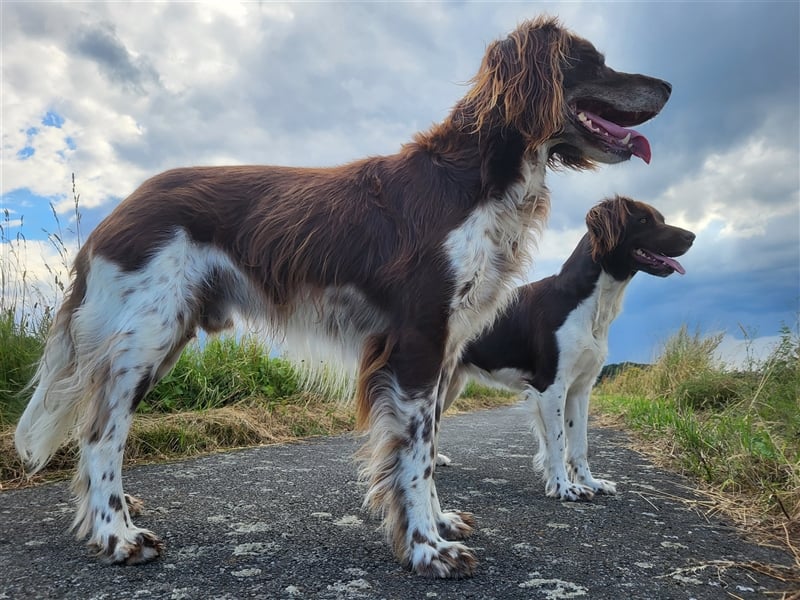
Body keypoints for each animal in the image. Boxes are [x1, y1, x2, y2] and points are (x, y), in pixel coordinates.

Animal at [438, 197, 692, 502]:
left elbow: (580, 444)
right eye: (643, 220)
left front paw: (590, 482)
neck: (585, 303)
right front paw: (563, 487)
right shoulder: (551, 386)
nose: (691, 237)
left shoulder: (580, 388)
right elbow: (557, 442)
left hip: (451, 384)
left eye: (661, 218)